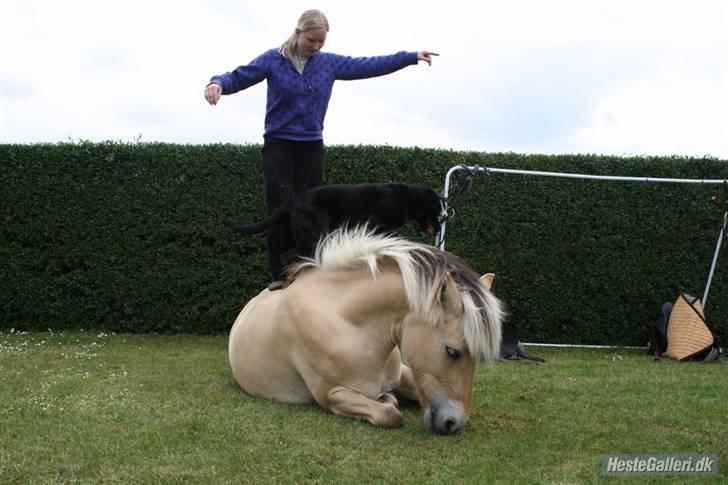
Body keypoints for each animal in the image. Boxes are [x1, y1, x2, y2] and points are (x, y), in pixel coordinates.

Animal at [230, 183, 440, 268]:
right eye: (438, 209)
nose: (440, 226)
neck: (406, 199)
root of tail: (294, 201)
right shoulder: (373, 222)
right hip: (313, 235)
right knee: (286, 256)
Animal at [230, 225, 504, 432]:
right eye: (451, 351)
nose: (453, 424)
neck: (350, 325)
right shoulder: (333, 395)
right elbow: (389, 415)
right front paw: (388, 402)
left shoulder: (405, 372)